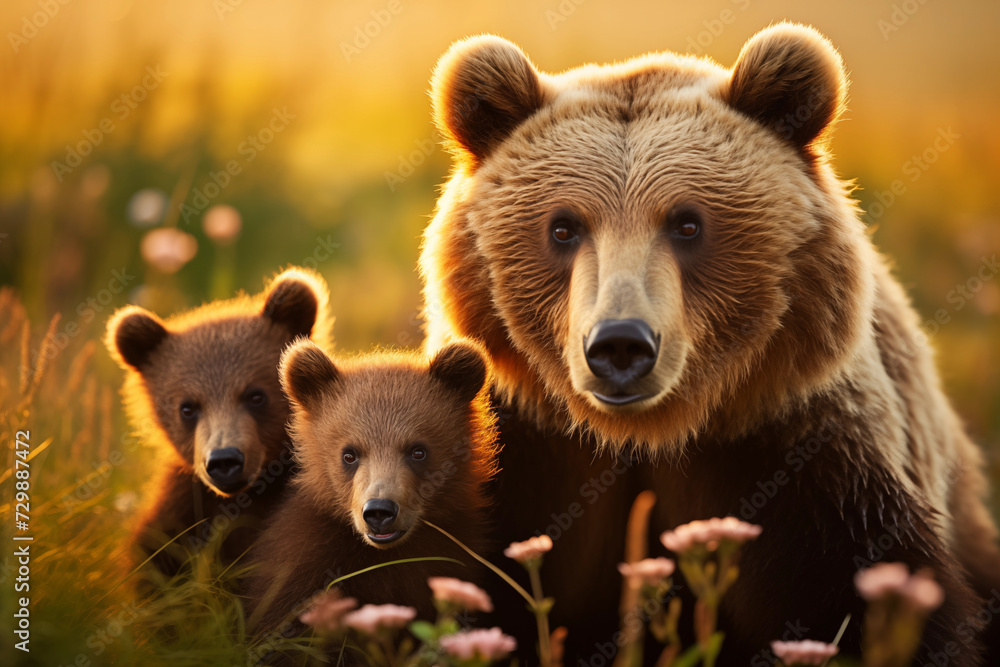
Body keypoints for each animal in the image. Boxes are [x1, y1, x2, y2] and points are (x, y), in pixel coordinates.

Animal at [244, 339, 499, 645]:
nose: (379, 511)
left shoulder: (447, 557)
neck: (385, 556)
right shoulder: (305, 563)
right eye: (349, 454)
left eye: (418, 451)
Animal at [419, 24, 1000, 665]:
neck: (649, 436)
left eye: (687, 223)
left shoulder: (799, 455)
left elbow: (868, 598)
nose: (620, 345)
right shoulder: (518, 447)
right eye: (563, 227)